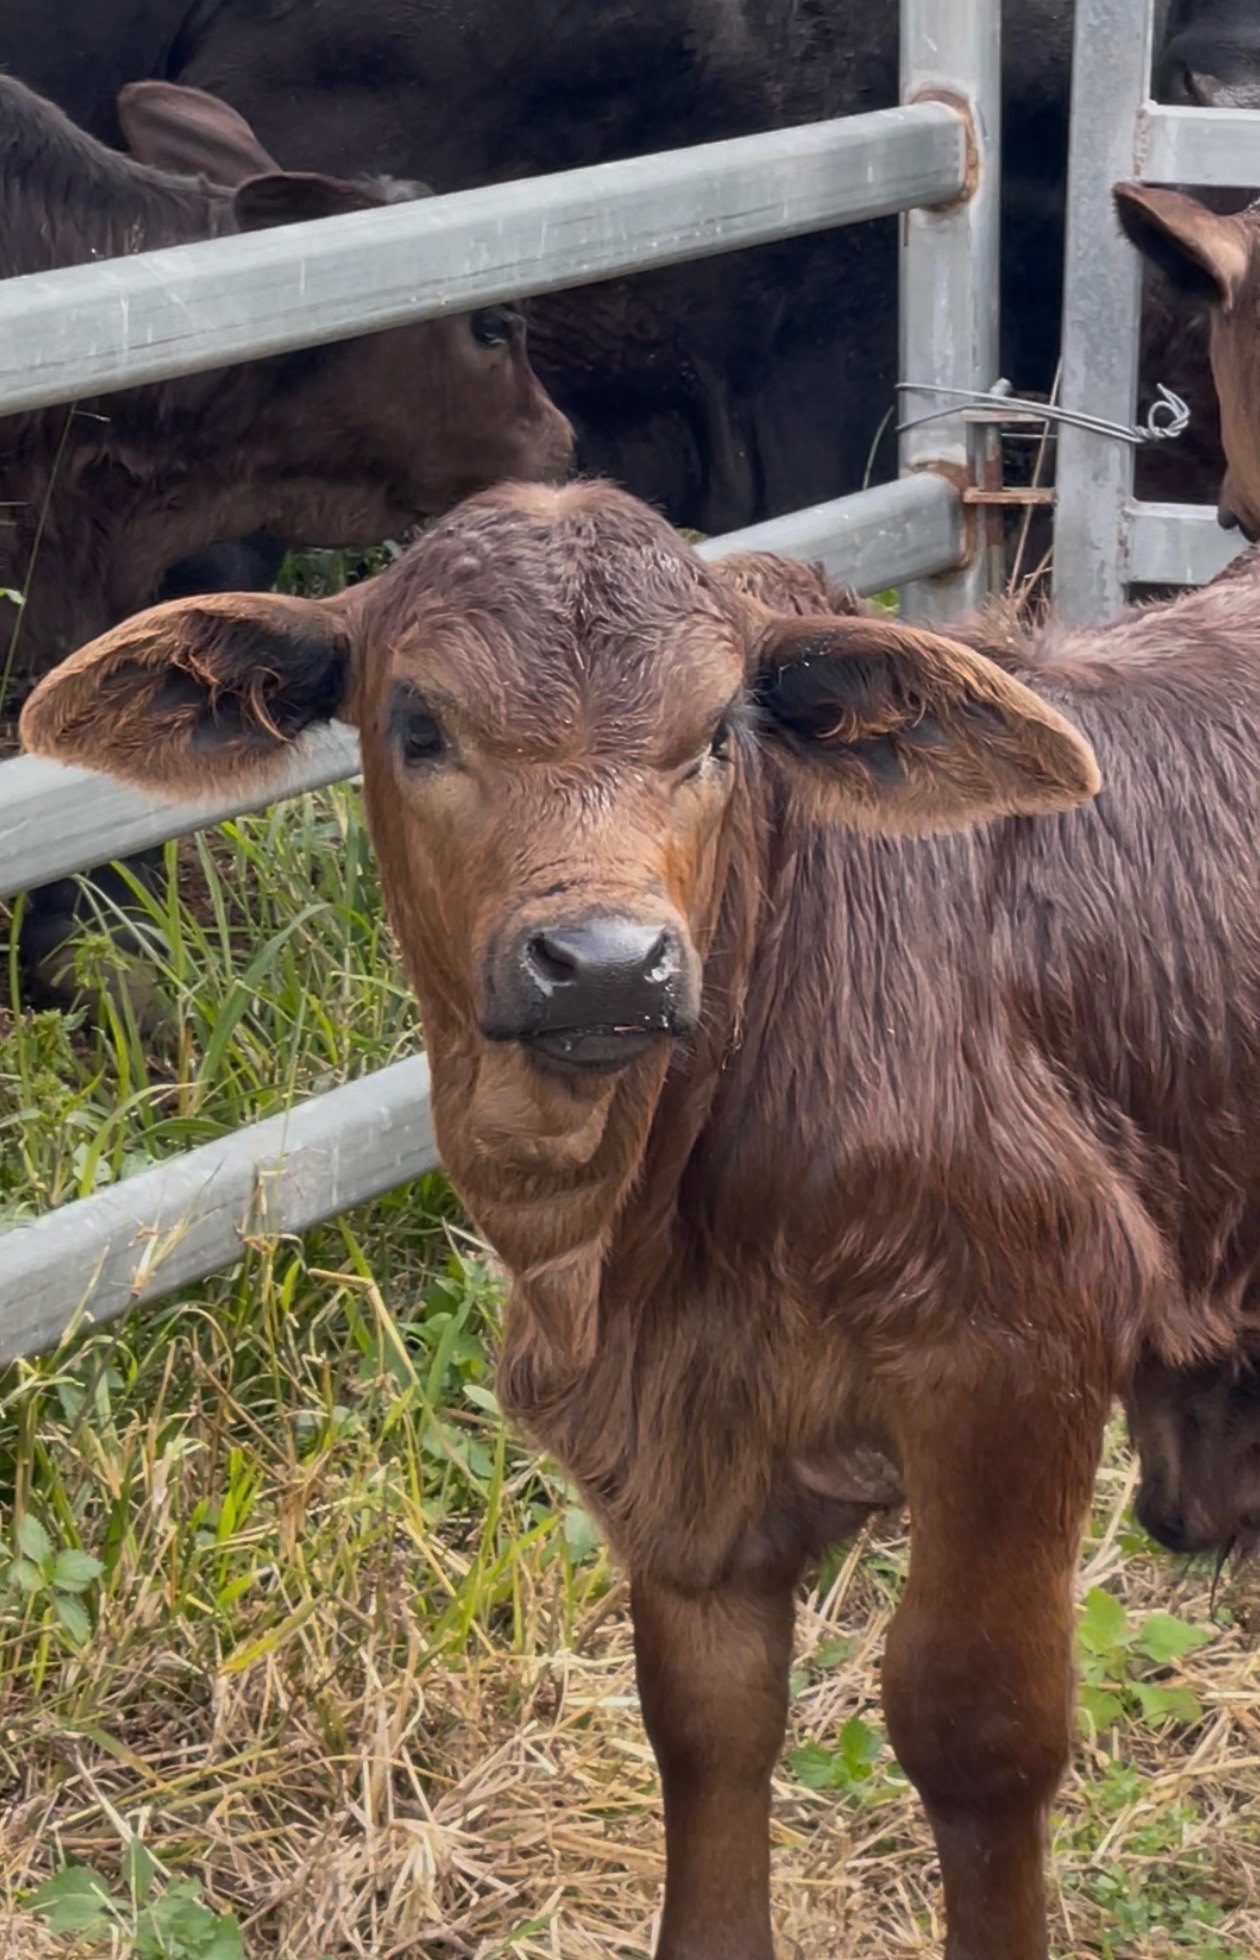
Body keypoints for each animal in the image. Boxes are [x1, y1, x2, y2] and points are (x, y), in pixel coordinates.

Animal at [22, 476, 1260, 1956]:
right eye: (416, 723)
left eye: (723, 730)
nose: (606, 963)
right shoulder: (674, 1454)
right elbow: (708, 1720)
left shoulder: (1018, 1348)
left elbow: (977, 1726)